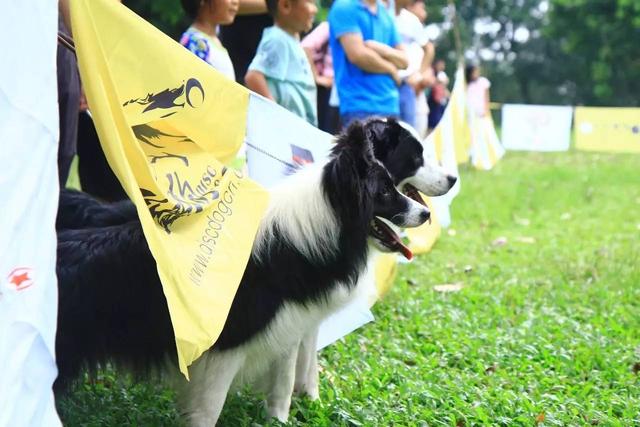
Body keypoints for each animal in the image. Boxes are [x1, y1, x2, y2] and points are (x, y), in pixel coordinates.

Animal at [56, 120, 436, 424]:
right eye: (384, 192)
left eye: (393, 184)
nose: (426, 214)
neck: (320, 221)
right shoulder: (224, 348)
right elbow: (209, 410)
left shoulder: (288, 326)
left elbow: (283, 383)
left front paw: (280, 418)